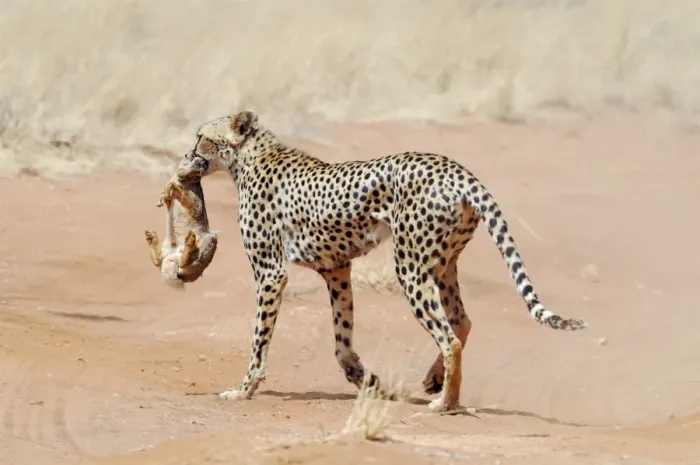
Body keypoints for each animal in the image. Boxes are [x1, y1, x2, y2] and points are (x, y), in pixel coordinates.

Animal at [145, 154, 219, 289]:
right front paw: (161, 198)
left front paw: (169, 189)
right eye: (191, 157)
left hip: (209, 241)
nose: (203, 164)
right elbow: (169, 194)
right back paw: (151, 237)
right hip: (166, 248)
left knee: (185, 263)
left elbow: (182, 193)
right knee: (159, 261)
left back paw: (190, 241)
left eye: (203, 166)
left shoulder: (196, 204)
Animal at [173, 110, 587, 413]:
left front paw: (243, 389)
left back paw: (445, 402)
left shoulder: (271, 273)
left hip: (410, 267)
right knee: (461, 320)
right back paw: (434, 381)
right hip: (442, 264)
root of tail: (456, 170)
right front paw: (367, 380)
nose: (186, 157)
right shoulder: (336, 269)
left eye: (200, 137)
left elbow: (259, 338)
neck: (251, 156)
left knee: (450, 336)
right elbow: (342, 340)